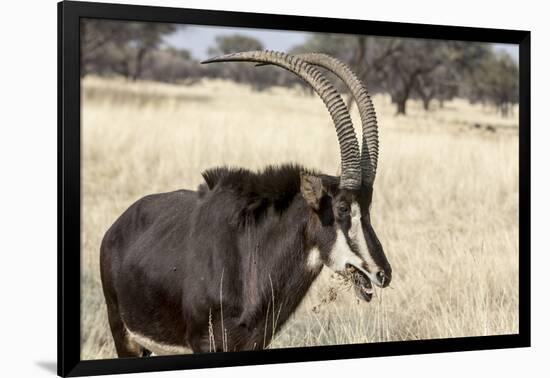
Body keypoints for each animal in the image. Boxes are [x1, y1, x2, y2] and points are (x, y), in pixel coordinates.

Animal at [99, 51, 392, 358]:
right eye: (342, 208)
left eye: (368, 208)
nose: (383, 273)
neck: (251, 252)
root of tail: (116, 227)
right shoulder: (204, 343)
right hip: (125, 336)